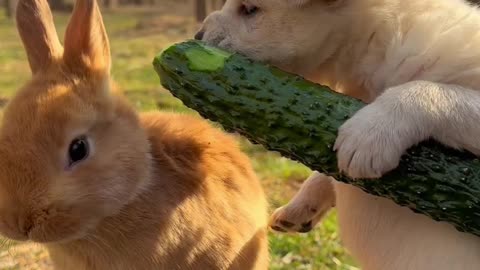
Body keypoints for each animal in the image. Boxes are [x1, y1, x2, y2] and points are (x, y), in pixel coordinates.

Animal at [197, 0, 480, 270]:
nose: (197, 36)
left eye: (250, 10)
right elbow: (325, 172)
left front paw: (370, 134)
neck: (378, 37)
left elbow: (429, 89)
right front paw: (299, 208)